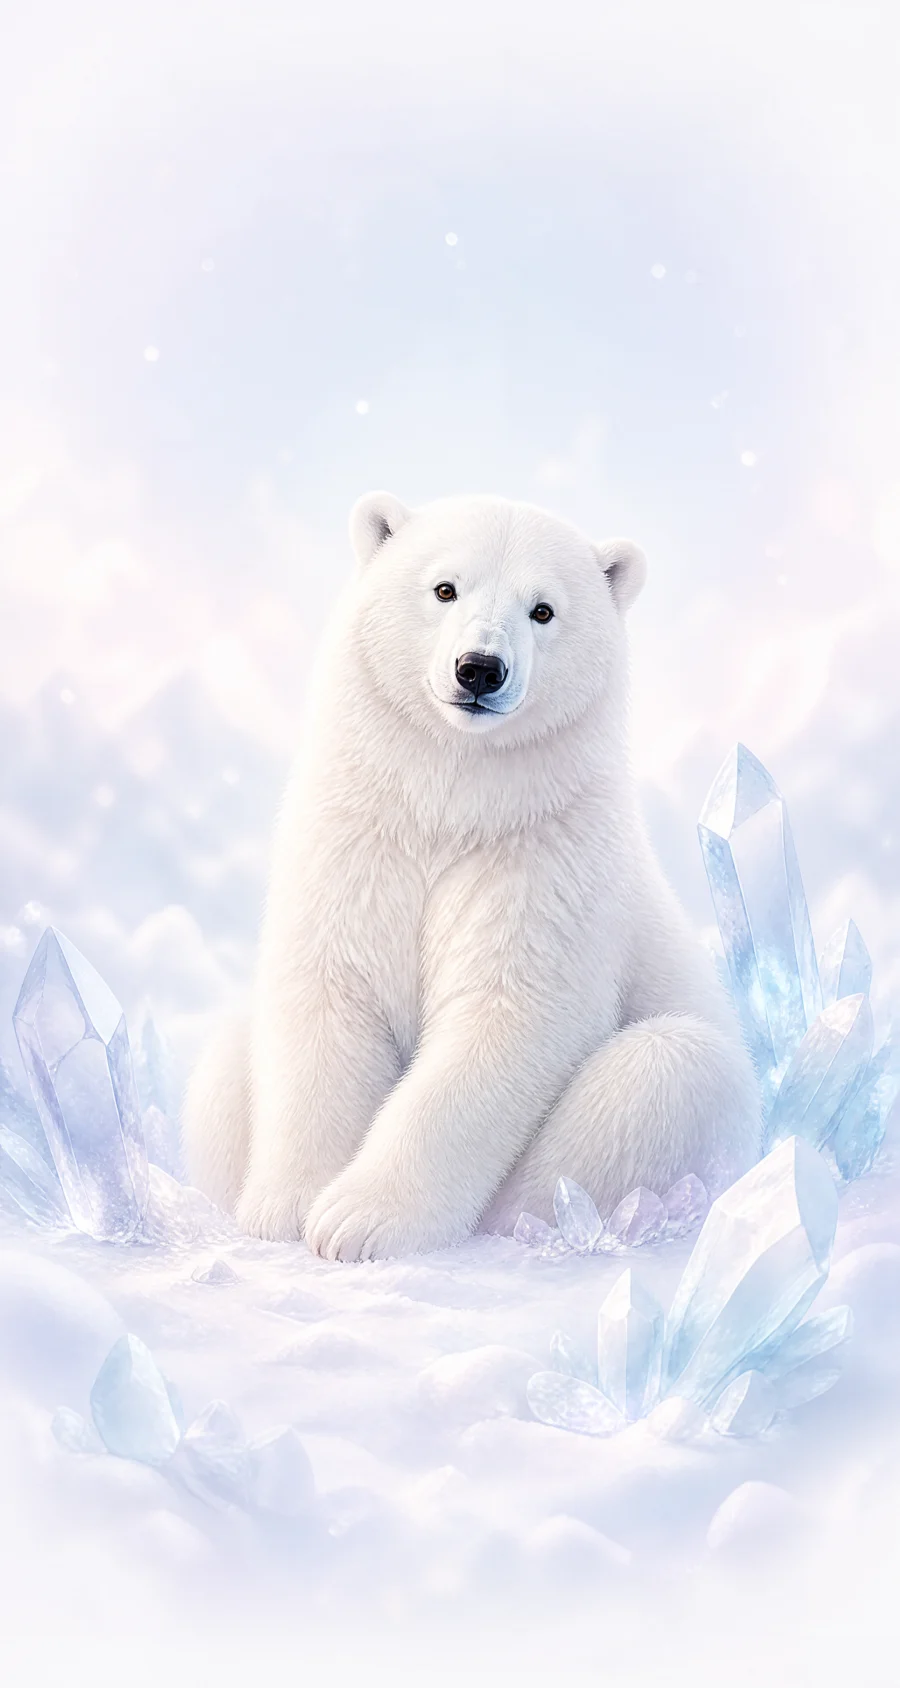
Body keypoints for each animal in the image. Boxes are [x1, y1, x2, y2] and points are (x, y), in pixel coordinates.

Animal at [183, 490, 760, 1261]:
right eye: (444, 588)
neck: (453, 808)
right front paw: (288, 1209)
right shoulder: (358, 845)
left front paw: (356, 1220)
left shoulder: (543, 865)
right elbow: (328, 996)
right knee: (223, 1057)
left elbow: (502, 1016)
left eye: (542, 609)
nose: (480, 668)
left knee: (670, 1072)